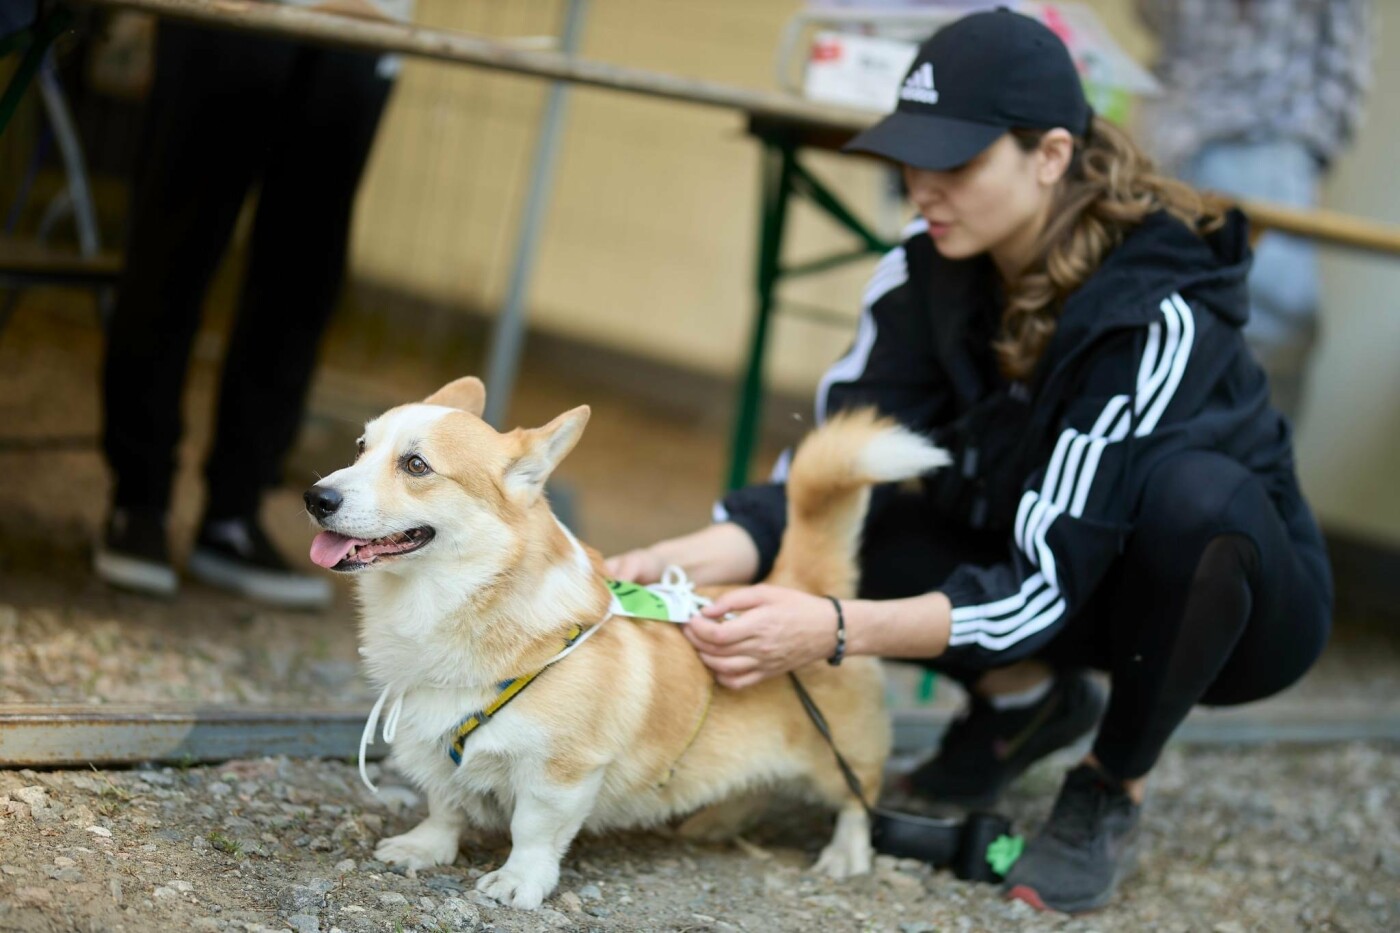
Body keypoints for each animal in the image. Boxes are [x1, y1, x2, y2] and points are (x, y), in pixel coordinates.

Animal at [301, 375, 946, 902]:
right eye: (360, 448)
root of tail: (800, 587)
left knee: (856, 801)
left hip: (841, 752)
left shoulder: (562, 771)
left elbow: (533, 830)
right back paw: (714, 821)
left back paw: (843, 854)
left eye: (416, 466)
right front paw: (425, 847)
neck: (452, 603)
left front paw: (518, 883)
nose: (315, 497)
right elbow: (444, 801)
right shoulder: (432, 736)